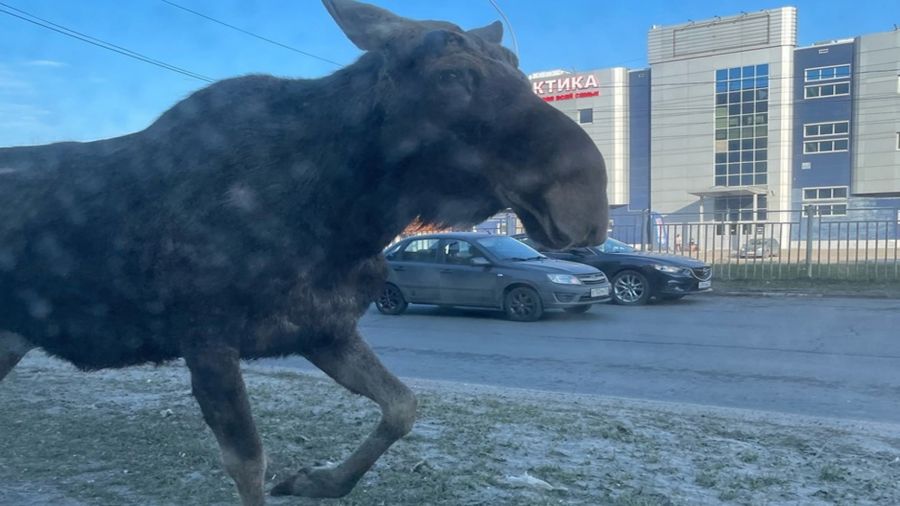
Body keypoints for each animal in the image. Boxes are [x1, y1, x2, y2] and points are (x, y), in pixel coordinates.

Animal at [0, 0, 608, 502]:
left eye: (521, 72)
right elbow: (248, 463)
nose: (589, 197)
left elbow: (403, 406)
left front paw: (317, 480)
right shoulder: (207, 339)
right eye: (451, 74)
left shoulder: (324, 329)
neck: (342, 218)